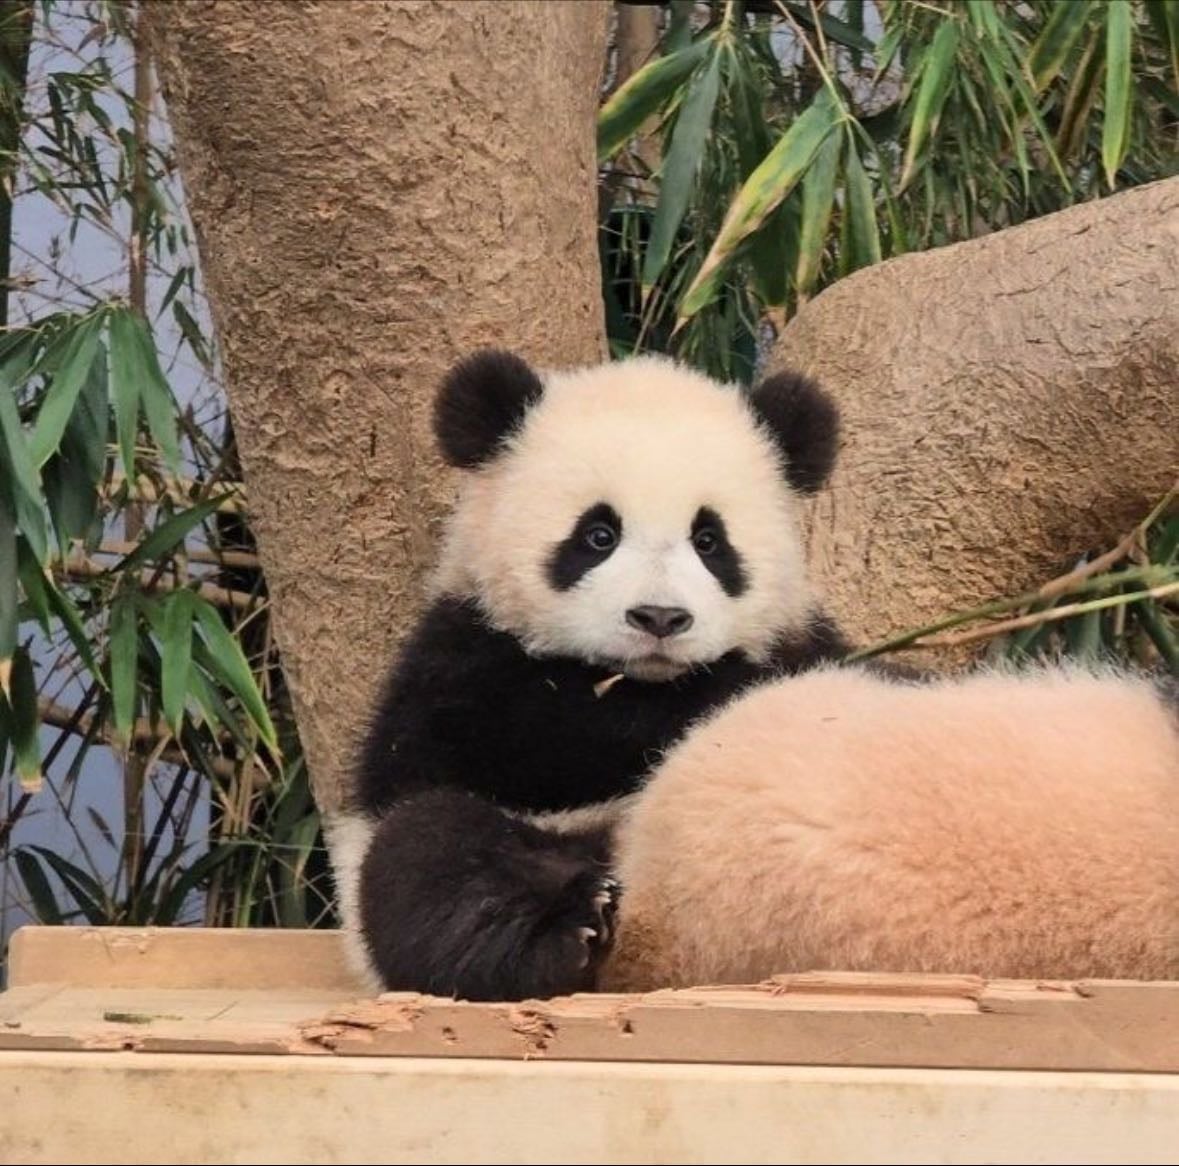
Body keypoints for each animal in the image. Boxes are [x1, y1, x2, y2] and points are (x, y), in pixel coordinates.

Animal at [327, 347, 855, 1002]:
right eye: (598, 535)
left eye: (709, 541)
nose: (659, 617)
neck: (642, 678)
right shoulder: (460, 663)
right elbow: (536, 735)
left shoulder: (802, 640)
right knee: (431, 856)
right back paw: (557, 935)